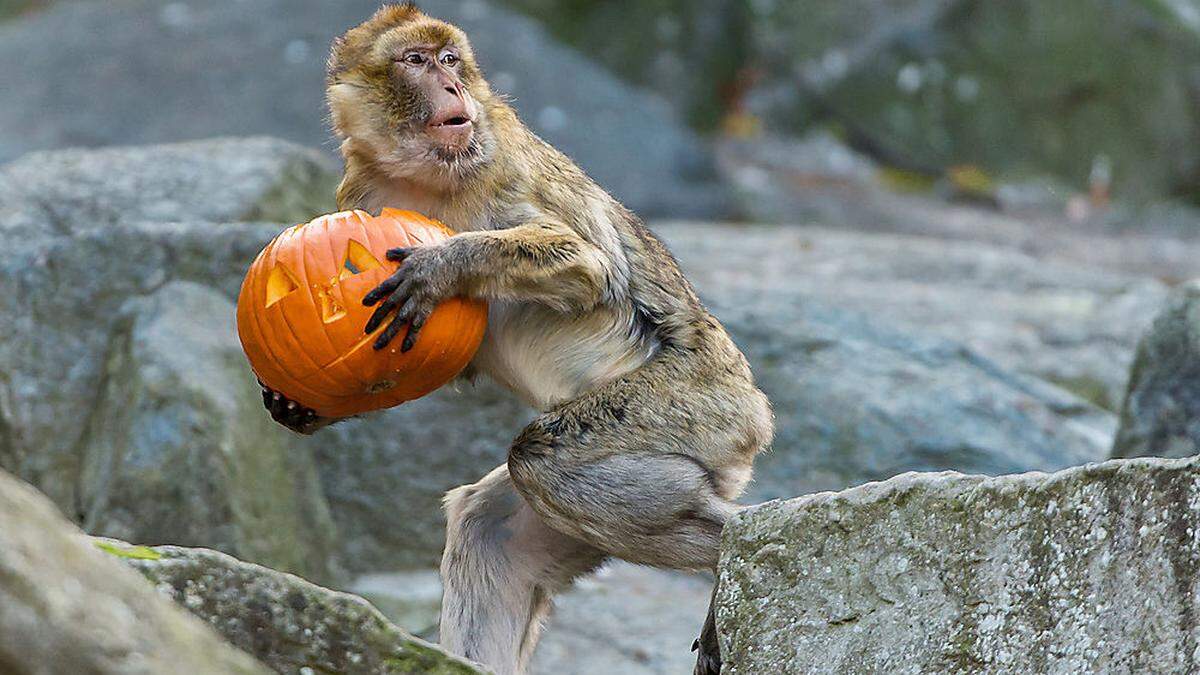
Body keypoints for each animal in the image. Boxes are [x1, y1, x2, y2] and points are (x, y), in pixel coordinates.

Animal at [261, 3, 768, 667]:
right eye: (416, 61)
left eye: (451, 60)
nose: (452, 88)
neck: (423, 175)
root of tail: (752, 409)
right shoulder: (358, 192)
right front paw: (301, 405)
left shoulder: (502, 164)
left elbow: (589, 267)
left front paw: (444, 266)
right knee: (488, 530)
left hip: (704, 407)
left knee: (541, 462)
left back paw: (736, 542)